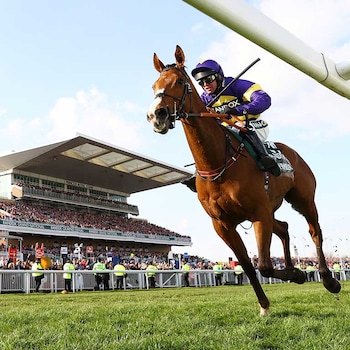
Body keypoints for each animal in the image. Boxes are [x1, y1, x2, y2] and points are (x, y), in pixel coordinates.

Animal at [146, 45, 340, 316]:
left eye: (179, 82)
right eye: (155, 85)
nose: (156, 115)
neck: (218, 164)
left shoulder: (259, 213)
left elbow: (265, 265)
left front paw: (299, 276)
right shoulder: (223, 224)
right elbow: (249, 265)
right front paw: (266, 304)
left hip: (303, 199)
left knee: (315, 232)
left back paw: (328, 279)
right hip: (271, 209)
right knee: (284, 227)